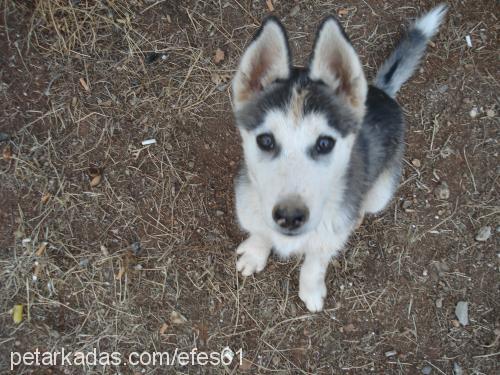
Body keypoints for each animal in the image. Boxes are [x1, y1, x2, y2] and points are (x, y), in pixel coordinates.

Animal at [232, 5, 448, 312]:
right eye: (265, 140)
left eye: (325, 143)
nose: (290, 217)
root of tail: (381, 92)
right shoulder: (250, 209)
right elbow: (261, 232)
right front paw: (254, 254)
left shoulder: (328, 239)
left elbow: (314, 264)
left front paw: (311, 291)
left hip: (380, 193)